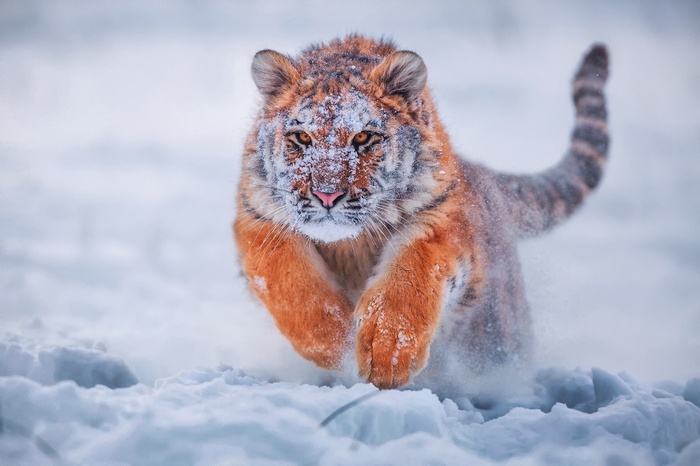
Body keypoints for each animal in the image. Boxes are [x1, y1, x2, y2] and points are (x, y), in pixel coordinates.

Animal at [233, 35, 609, 391]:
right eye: (301, 137)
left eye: (363, 137)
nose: (328, 194)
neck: (349, 245)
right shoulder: (260, 221)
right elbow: (292, 285)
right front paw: (337, 342)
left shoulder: (438, 220)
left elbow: (408, 276)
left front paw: (387, 354)